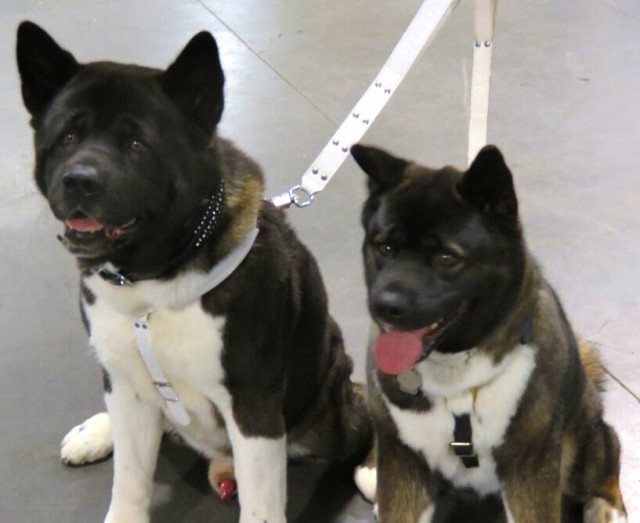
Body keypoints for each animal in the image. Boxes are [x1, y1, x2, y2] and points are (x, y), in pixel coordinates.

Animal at [350, 144, 624, 523]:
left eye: (447, 257)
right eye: (385, 248)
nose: (383, 306)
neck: (455, 373)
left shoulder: (530, 471)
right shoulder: (403, 464)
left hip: (578, 447)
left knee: (609, 447)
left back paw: (608, 507)